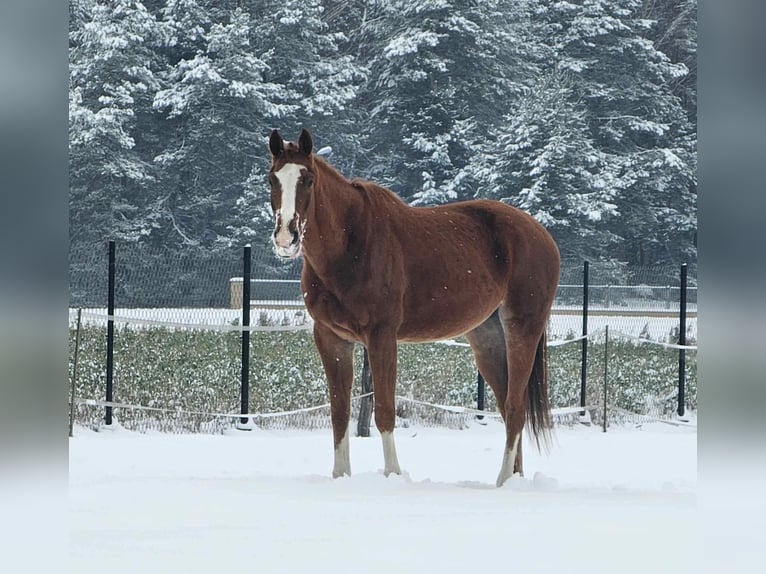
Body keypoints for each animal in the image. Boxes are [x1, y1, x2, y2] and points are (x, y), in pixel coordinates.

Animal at [268, 129, 560, 486]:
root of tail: (542, 235)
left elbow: (384, 411)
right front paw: (340, 476)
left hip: (523, 329)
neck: (351, 243)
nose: (286, 237)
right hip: (488, 337)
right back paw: (513, 478)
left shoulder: (381, 337)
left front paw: (393, 475)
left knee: (516, 409)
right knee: (507, 408)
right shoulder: (331, 338)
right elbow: (339, 412)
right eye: (272, 179)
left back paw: (502, 481)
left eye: (307, 179)